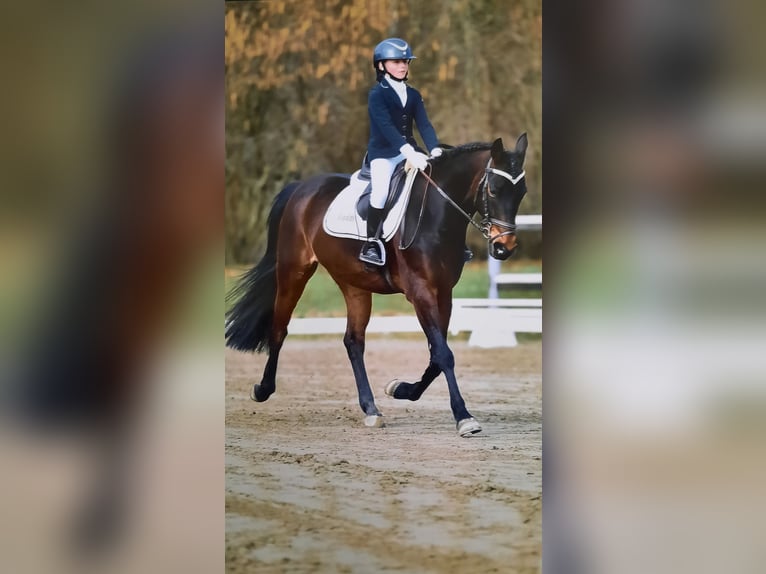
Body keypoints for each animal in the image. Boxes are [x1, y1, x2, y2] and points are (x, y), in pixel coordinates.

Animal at [226, 133, 528, 436]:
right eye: (494, 190)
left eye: (521, 192)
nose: (504, 248)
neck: (437, 213)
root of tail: (301, 187)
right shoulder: (421, 292)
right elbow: (443, 354)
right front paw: (463, 416)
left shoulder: (443, 293)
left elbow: (436, 356)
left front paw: (400, 389)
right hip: (294, 271)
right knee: (279, 328)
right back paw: (262, 389)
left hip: (354, 284)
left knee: (353, 341)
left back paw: (370, 409)